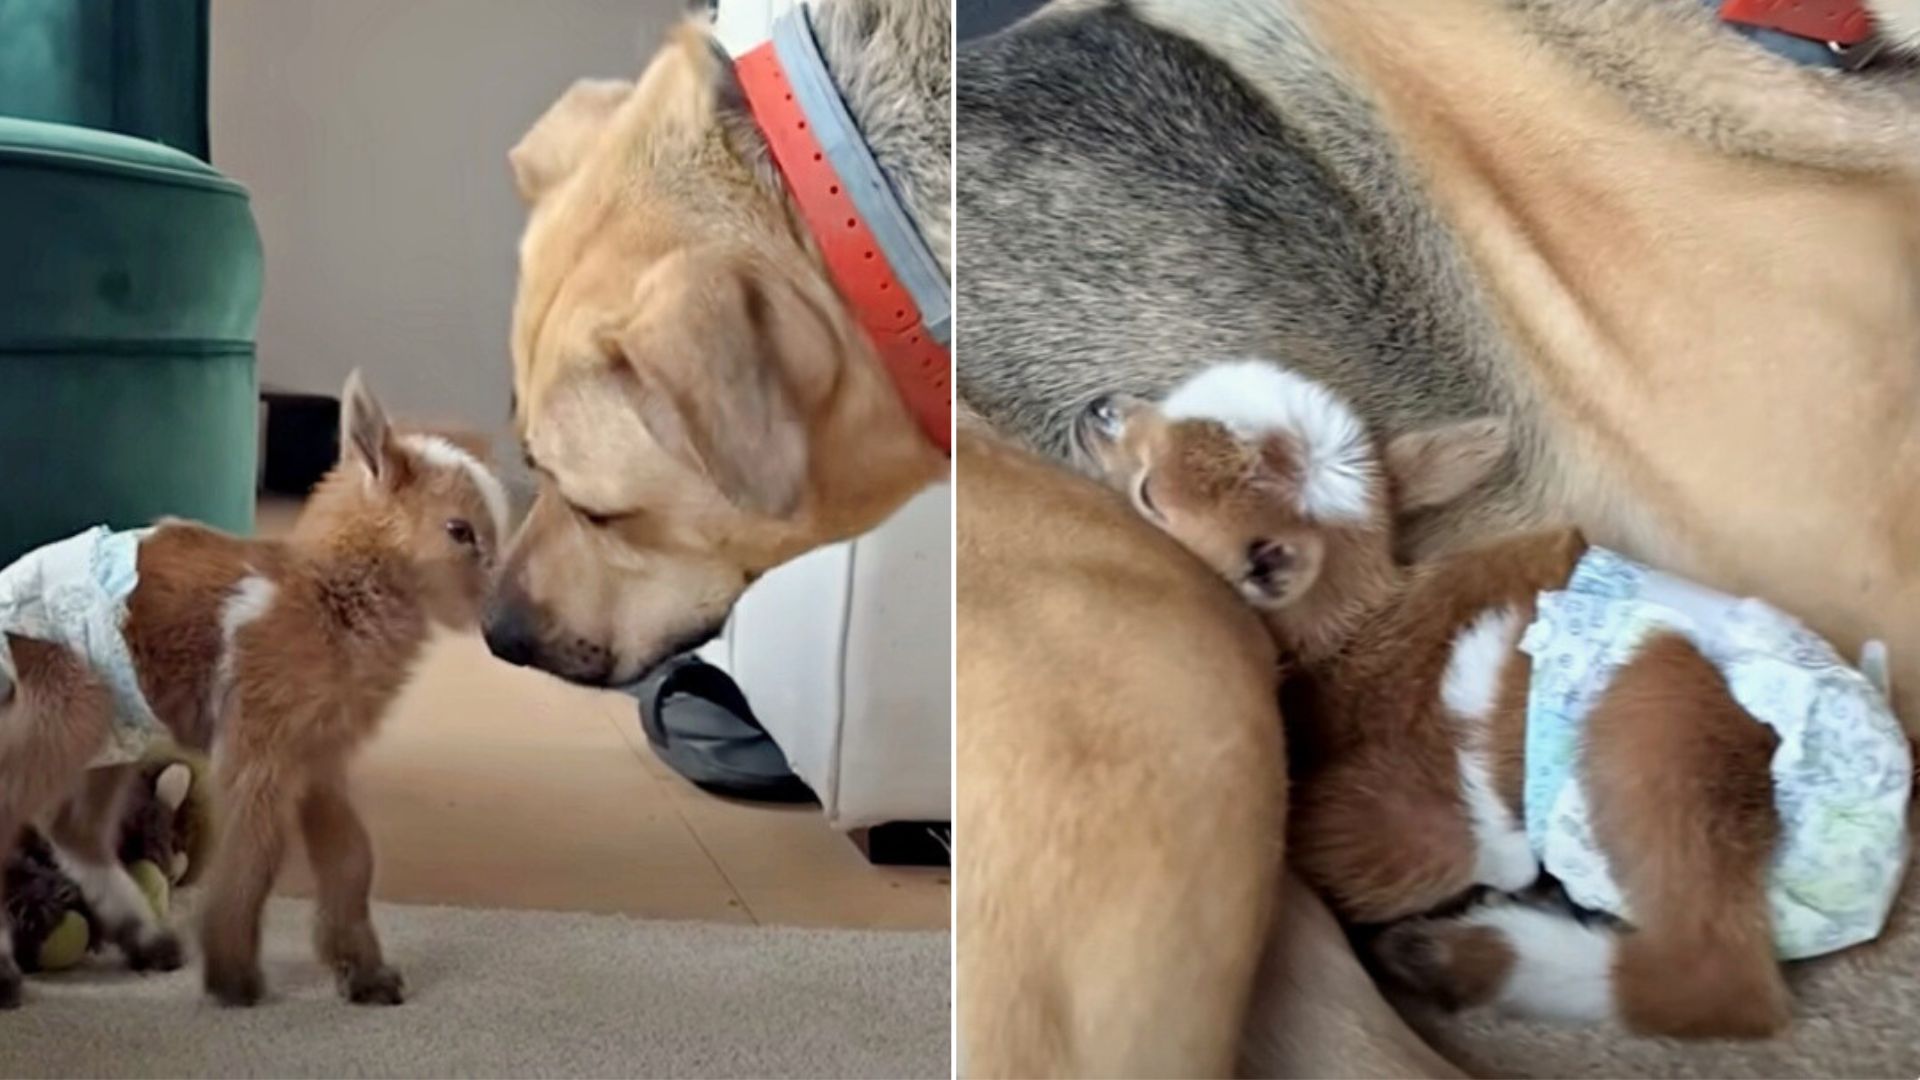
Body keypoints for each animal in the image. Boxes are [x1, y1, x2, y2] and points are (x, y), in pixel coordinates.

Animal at [0, 372, 510, 1006]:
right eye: (459, 531)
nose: (495, 618)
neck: (329, 599)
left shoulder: (319, 755)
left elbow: (351, 855)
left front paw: (367, 976)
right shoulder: (259, 744)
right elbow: (257, 853)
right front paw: (235, 979)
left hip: (122, 723)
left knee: (75, 828)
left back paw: (147, 940)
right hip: (70, 698)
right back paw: (8, 975)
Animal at [1075, 359, 1912, 1037]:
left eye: (1149, 492)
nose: (1096, 409)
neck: (1360, 631)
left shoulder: (1396, 828)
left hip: (1662, 715)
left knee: (1719, 982)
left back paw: (1458, 955)